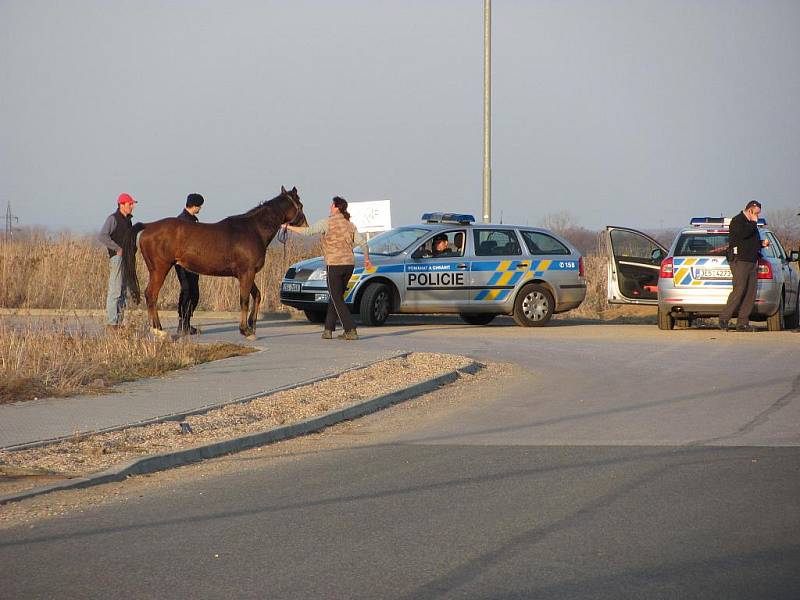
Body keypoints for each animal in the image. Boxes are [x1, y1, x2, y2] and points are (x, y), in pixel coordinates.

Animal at [123, 185, 308, 340]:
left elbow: (257, 296)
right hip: (160, 269)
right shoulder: (246, 273)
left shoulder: (245, 274)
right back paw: (158, 330)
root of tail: (148, 226)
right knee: (151, 294)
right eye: (300, 205)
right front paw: (245, 330)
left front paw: (251, 325)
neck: (253, 230)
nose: (305, 224)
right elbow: (244, 300)